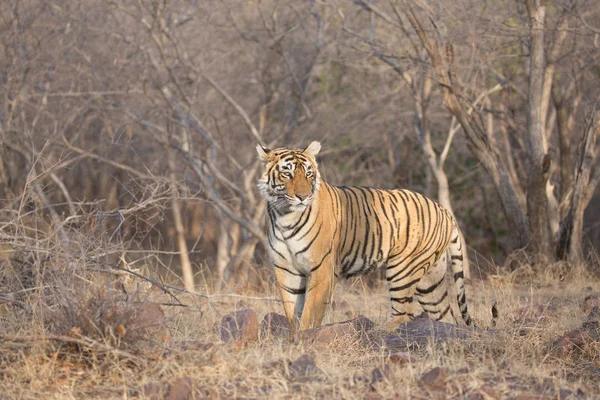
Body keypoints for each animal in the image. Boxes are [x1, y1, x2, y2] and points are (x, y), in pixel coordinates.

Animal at [258, 141, 474, 334]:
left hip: (403, 268)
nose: (303, 197)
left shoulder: (321, 269)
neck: (285, 216)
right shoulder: (287, 269)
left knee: (404, 313)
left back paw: (377, 330)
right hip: (431, 280)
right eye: (287, 174)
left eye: (309, 174)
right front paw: (293, 339)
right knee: (445, 315)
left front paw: (304, 338)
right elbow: (292, 311)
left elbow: (310, 313)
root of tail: (444, 210)